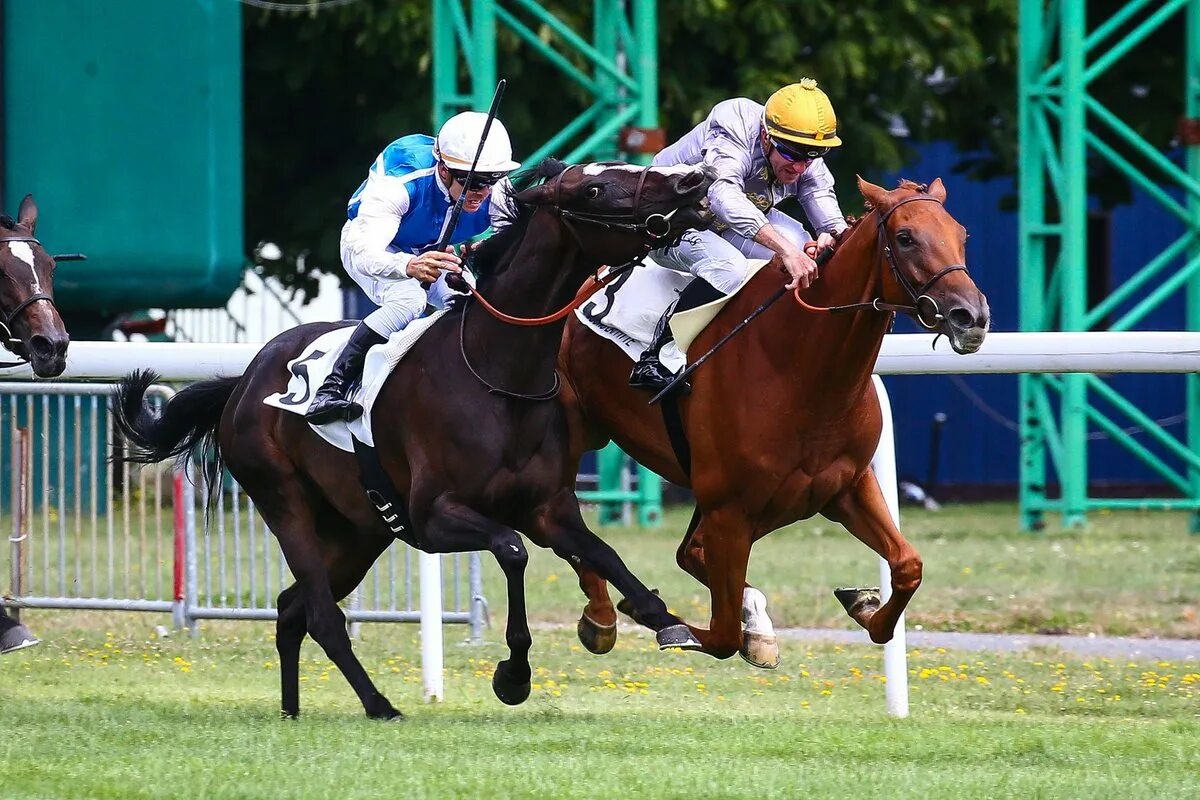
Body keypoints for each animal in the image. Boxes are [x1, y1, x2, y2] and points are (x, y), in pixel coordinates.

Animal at [112, 160, 710, 719]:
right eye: (594, 188)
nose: (691, 185)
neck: (499, 374)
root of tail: (243, 382)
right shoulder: (434, 516)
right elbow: (512, 550)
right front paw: (513, 675)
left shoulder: (549, 507)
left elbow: (603, 552)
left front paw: (664, 619)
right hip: (284, 501)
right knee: (323, 615)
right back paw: (379, 704)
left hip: (358, 531)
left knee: (290, 608)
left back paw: (291, 709)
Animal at [556, 178, 988, 666]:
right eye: (905, 237)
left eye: (962, 234)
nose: (971, 316)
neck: (796, 364)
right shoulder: (729, 508)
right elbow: (721, 634)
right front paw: (679, 623)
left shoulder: (843, 487)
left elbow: (908, 566)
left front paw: (861, 604)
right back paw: (601, 616)